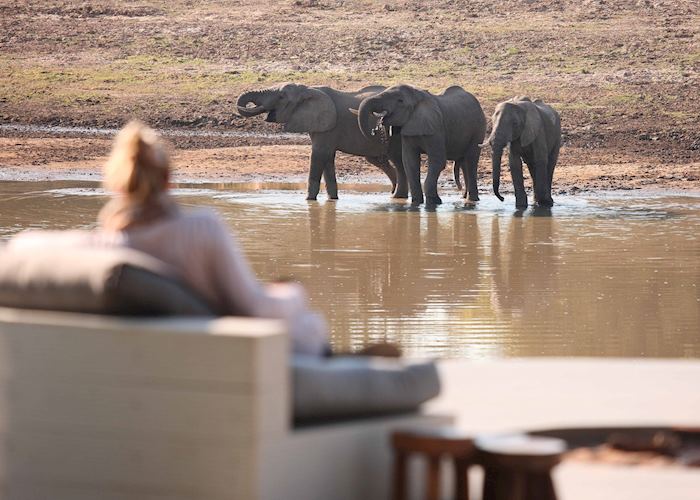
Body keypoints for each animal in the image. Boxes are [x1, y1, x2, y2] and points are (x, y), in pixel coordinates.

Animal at [235, 83, 404, 200]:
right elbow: (327, 159)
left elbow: (318, 156)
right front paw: (332, 200)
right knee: (378, 160)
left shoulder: (327, 127)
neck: (308, 89)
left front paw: (308, 200)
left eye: (281, 97)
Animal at [356, 84, 486, 205]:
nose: (374, 131)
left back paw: (472, 200)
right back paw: (466, 198)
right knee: (464, 162)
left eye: (400, 101)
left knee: (471, 161)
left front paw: (434, 202)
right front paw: (416, 203)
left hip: (478, 130)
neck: (418, 97)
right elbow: (410, 162)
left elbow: (437, 161)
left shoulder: (436, 129)